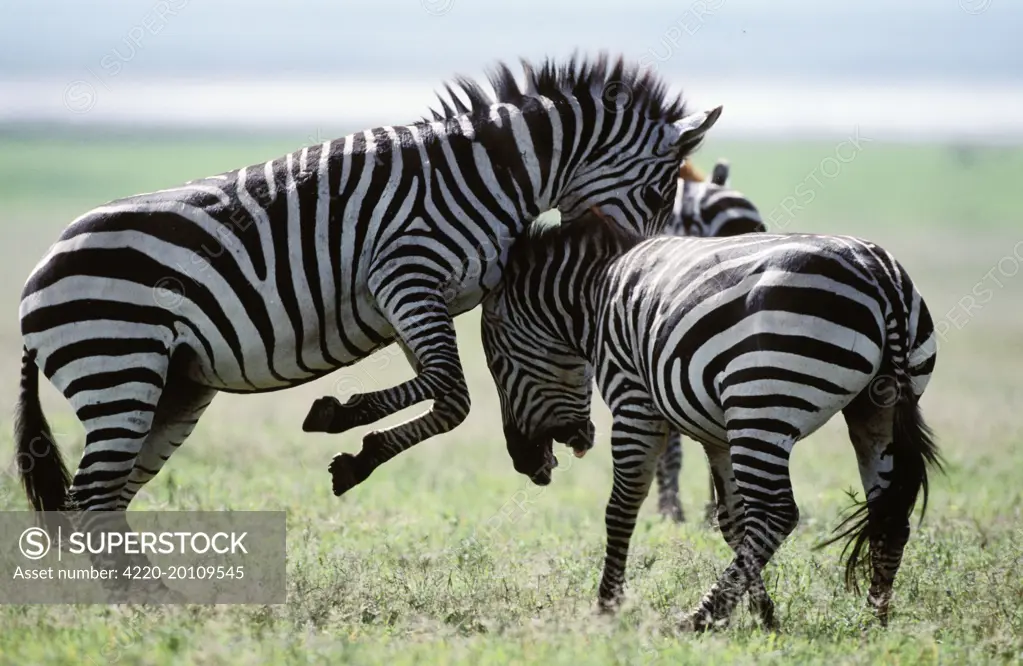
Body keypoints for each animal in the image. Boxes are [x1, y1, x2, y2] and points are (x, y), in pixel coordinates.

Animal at [15, 53, 724, 521]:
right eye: (659, 193)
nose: (641, 269)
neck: (489, 176)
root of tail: (37, 275)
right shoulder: (406, 274)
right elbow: (453, 395)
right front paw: (349, 432)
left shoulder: (415, 299)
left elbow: (440, 390)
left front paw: (349, 433)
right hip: (118, 366)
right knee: (92, 498)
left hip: (173, 386)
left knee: (107, 499)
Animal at [478, 209, 941, 630]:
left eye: (497, 367)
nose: (522, 461)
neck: (595, 297)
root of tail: (879, 274)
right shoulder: (715, 433)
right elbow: (734, 522)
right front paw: (762, 614)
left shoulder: (634, 402)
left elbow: (622, 506)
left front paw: (607, 606)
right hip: (875, 410)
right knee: (888, 514)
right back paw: (874, 621)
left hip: (761, 406)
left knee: (778, 513)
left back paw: (697, 618)